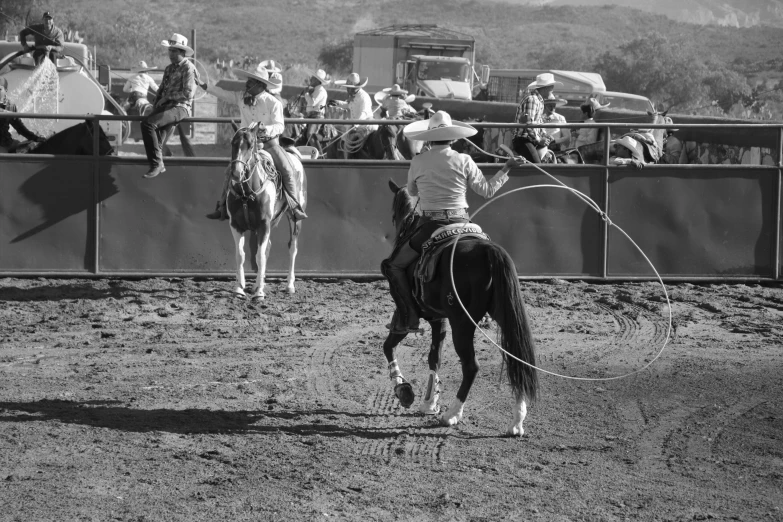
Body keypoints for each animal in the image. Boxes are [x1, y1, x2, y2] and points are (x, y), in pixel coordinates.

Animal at [225, 123, 308, 298]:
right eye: (233, 143)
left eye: (250, 145)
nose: (236, 172)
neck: (246, 193)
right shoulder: (236, 225)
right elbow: (240, 256)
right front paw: (240, 288)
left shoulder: (264, 224)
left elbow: (260, 257)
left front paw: (259, 293)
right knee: (268, 247)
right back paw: (258, 284)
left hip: (294, 218)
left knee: (292, 248)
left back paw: (289, 285)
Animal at [384, 180, 540, 434]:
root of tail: (488, 251)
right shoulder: (438, 319)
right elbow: (434, 357)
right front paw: (429, 402)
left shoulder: (405, 316)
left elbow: (389, 347)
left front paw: (403, 390)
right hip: (505, 316)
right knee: (516, 360)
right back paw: (516, 422)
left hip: (462, 322)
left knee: (471, 366)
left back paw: (452, 415)